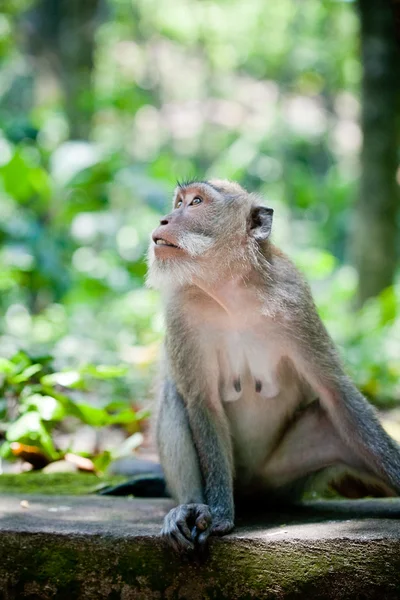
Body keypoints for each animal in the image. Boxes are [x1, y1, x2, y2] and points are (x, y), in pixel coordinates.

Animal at [145, 178, 400, 552]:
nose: (164, 219)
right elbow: (202, 402)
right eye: (178, 202)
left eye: (195, 202)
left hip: (282, 477)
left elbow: (335, 391)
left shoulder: (295, 301)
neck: (232, 292)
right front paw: (219, 513)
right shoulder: (182, 313)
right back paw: (188, 508)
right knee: (176, 397)